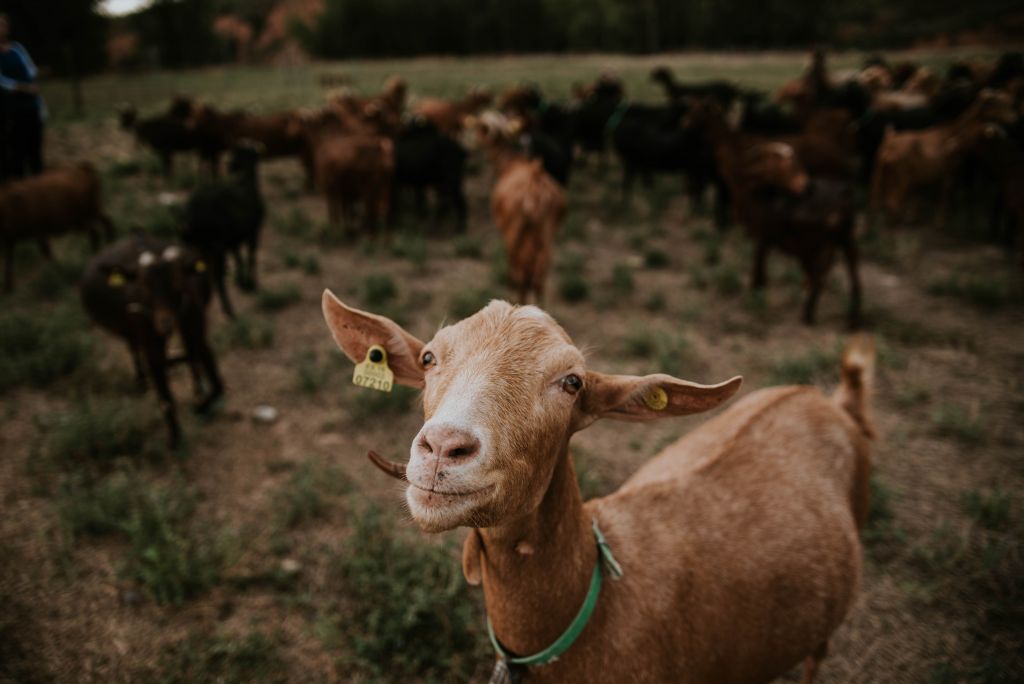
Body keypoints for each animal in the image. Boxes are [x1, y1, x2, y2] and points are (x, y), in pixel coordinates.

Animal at [0, 162, 114, 292]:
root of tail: (84, 168)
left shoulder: (39, 234)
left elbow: (47, 254)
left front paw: (59, 273)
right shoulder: (11, 240)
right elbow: (9, 262)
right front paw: (8, 287)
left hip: (82, 219)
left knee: (95, 232)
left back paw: (96, 256)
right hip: (93, 212)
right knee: (107, 223)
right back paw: (109, 246)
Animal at [81, 236, 223, 447]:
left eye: (177, 282)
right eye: (143, 287)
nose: (164, 323)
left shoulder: (196, 329)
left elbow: (216, 383)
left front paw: (200, 406)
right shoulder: (151, 344)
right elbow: (165, 401)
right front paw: (175, 440)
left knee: (191, 361)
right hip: (129, 332)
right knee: (134, 349)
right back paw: (143, 379)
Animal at [181, 142, 265, 318]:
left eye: (237, 155)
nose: (230, 167)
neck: (246, 180)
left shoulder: (234, 239)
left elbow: (239, 258)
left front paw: (243, 281)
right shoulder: (252, 232)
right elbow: (251, 256)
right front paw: (251, 283)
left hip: (192, 246)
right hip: (215, 246)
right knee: (217, 276)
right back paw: (229, 310)